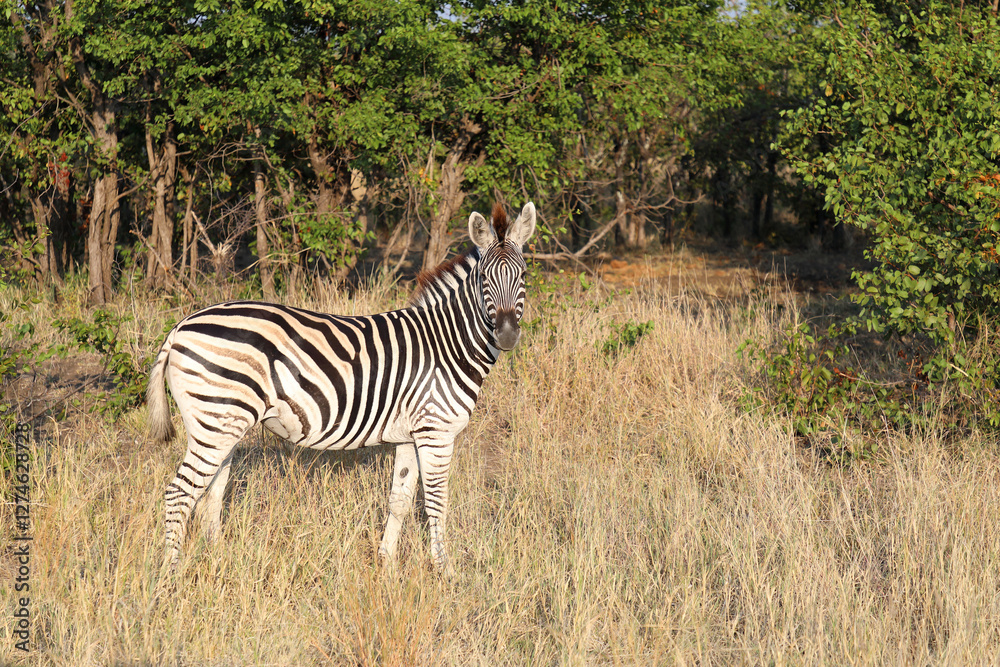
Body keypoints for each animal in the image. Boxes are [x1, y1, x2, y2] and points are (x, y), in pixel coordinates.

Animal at [147, 201, 536, 575]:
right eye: (483, 278)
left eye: (523, 276)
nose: (506, 336)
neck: (447, 342)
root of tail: (181, 326)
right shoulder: (436, 430)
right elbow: (436, 503)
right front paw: (445, 571)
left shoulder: (410, 434)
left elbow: (399, 500)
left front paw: (386, 566)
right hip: (216, 420)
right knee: (179, 493)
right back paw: (171, 573)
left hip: (222, 424)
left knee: (211, 493)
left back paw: (216, 559)